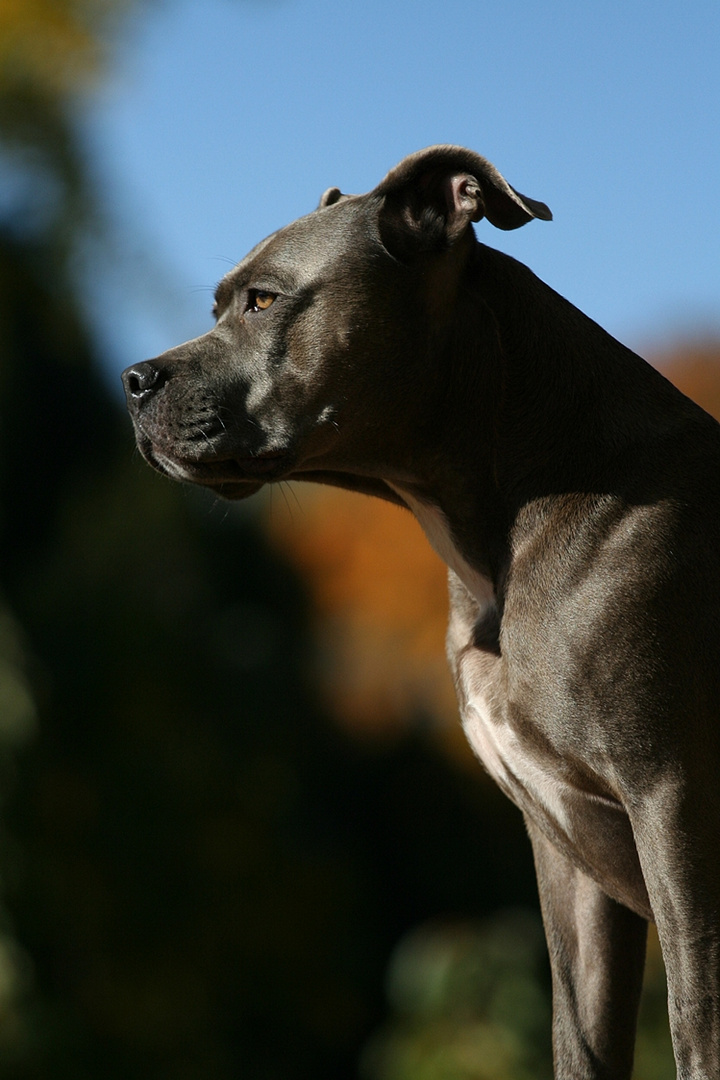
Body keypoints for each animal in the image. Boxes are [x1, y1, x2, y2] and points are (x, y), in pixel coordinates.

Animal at [122, 145, 720, 1080]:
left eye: (263, 301)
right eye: (219, 304)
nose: (134, 379)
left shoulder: (674, 805)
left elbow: (697, 1023)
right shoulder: (572, 861)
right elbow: (580, 1040)